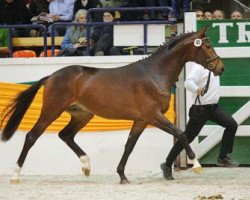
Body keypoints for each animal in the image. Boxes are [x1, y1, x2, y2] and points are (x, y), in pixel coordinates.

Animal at [0, 25, 223, 184]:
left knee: (66, 135)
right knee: (32, 136)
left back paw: (86, 166)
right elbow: (181, 134)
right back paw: (15, 175)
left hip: (82, 114)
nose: (220, 67)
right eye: (207, 46)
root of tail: (51, 76)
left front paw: (122, 175)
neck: (154, 74)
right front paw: (196, 164)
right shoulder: (153, 116)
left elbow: (129, 145)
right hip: (52, 110)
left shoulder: (141, 120)